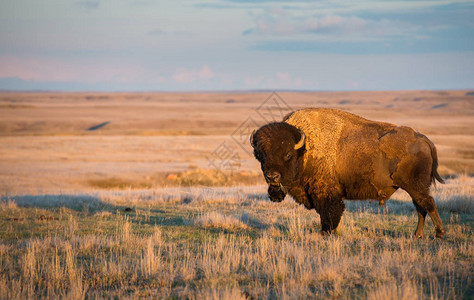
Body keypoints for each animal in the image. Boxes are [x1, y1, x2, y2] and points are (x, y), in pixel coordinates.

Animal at [250, 109, 446, 238]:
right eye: (260, 155)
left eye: (287, 154)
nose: (272, 176)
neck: (305, 149)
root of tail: (424, 139)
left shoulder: (326, 195)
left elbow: (329, 214)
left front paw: (326, 233)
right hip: (414, 188)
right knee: (421, 208)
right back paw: (418, 235)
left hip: (416, 187)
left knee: (427, 204)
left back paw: (439, 233)